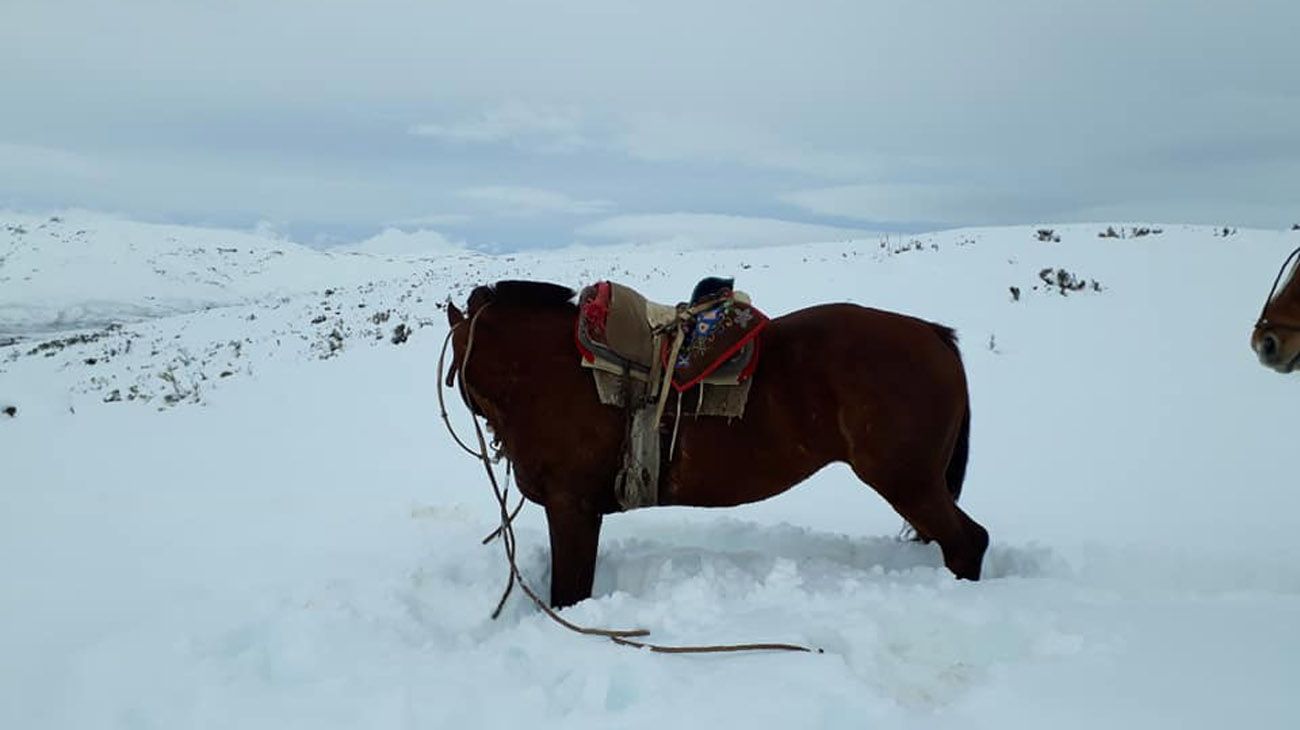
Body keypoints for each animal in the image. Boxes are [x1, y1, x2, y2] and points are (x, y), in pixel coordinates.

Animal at [444, 281, 982, 605]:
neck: (552, 372)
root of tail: (933, 335)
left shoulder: (571, 506)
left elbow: (568, 592)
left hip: (907, 480)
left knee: (969, 541)